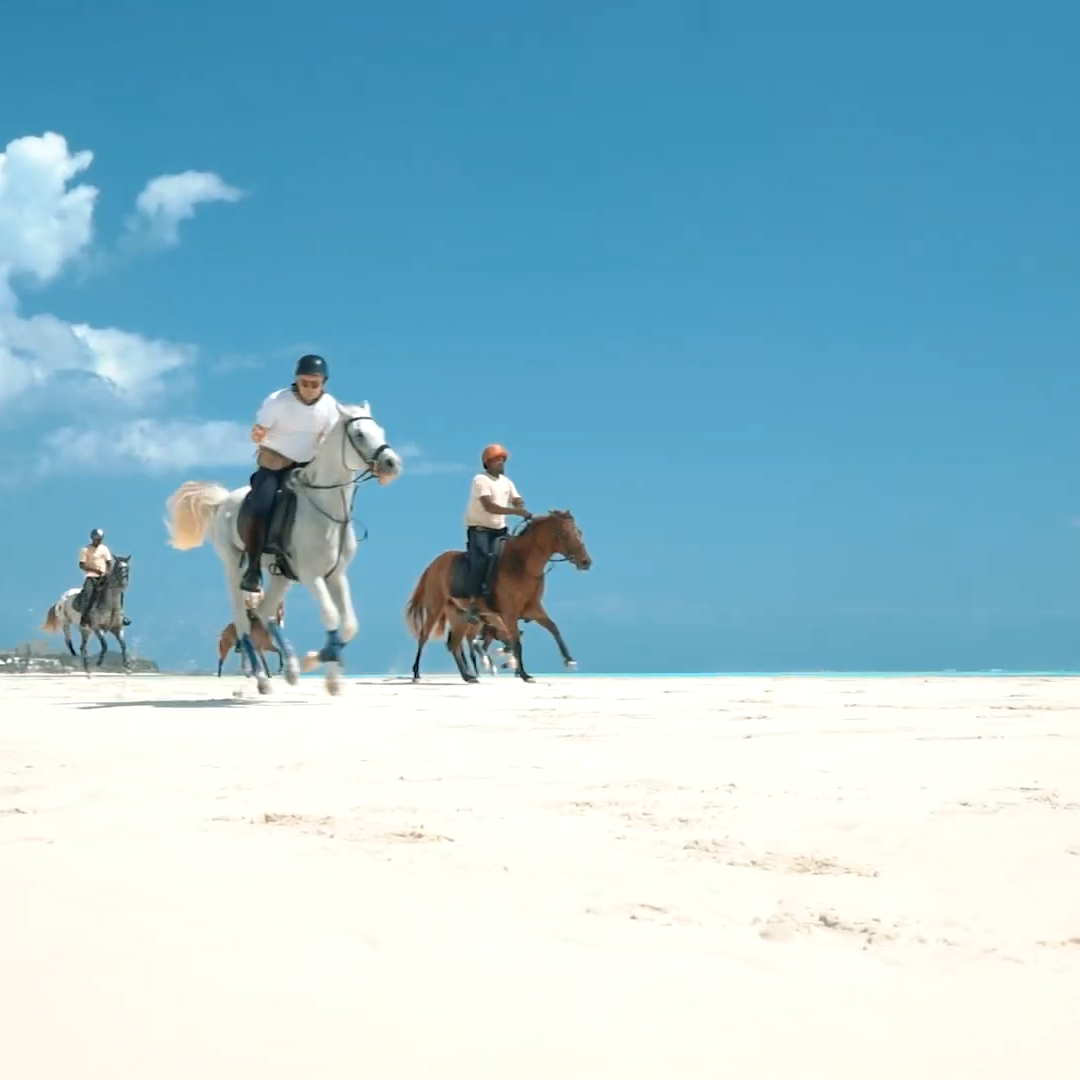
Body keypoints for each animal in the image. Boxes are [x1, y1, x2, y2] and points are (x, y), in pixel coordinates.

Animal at [166, 401, 403, 695]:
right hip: (234, 566)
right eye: (359, 434)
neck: (324, 508)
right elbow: (330, 614)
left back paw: (289, 669)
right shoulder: (311, 575)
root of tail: (223, 501)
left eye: (380, 430)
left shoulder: (336, 575)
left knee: (262, 614)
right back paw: (261, 677)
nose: (392, 464)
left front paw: (324, 670)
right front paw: (317, 663)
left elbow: (349, 625)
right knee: (243, 621)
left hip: (281, 576)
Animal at [403, 507, 591, 682]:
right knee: (424, 637)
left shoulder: (533, 609)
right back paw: (417, 674)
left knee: (454, 644)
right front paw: (524, 674)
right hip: (435, 608)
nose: (586, 562)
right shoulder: (509, 613)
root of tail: (433, 565)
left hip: (459, 616)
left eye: (579, 532)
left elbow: (553, 628)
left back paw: (468, 676)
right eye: (563, 534)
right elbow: (516, 641)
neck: (521, 564)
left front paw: (569, 660)